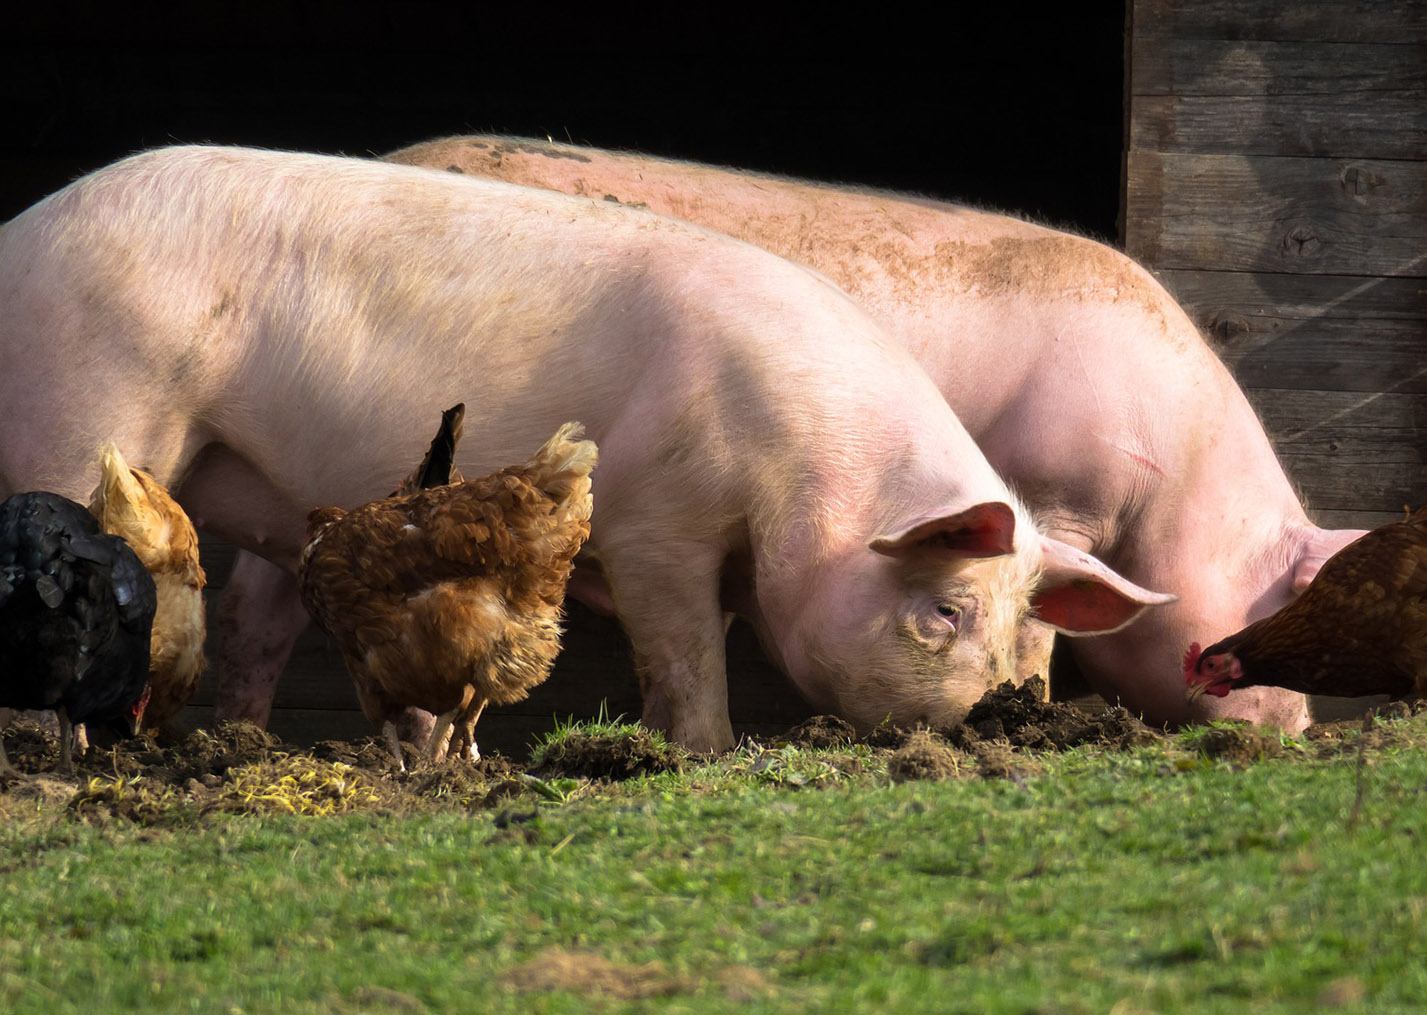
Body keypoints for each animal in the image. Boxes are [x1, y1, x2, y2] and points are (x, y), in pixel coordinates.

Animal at [0, 147, 1164, 748]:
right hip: (91, 406)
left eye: (1017, 624)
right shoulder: (657, 525)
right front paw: (701, 753)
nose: (989, 722)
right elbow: (682, 651)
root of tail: (22, 231)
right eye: (945, 611)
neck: (799, 475)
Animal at [371, 139, 1369, 736]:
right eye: (1277, 605)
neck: (1173, 484)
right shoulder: (1053, 497)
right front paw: (1031, 709)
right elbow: (1036, 625)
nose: (1298, 728)